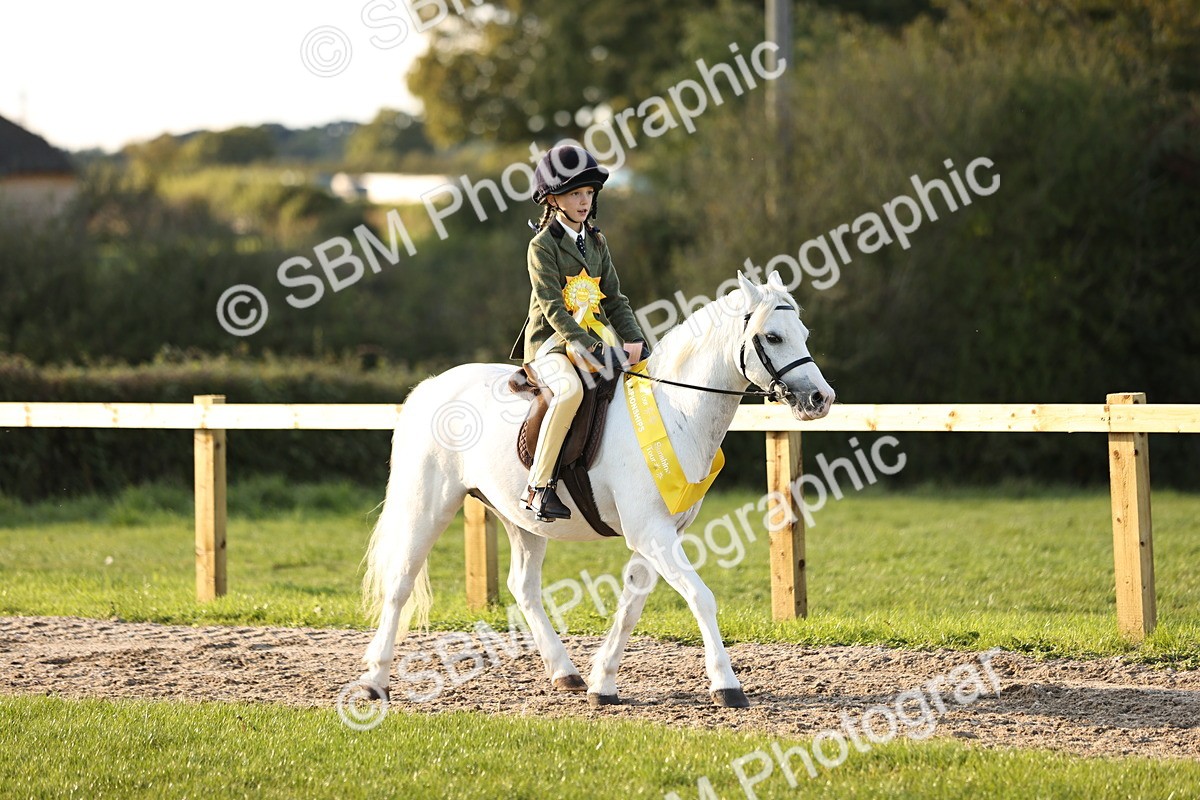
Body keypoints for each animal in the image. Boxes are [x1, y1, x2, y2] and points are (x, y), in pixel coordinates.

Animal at [358, 270, 834, 708]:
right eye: (772, 336)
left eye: (805, 334)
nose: (821, 399)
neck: (677, 410)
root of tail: (432, 385)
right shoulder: (652, 533)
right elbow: (702, 597)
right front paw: (726, 684)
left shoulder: (659, 534)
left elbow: (630, 607)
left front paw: (603, 683)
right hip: (429, 506)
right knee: (400, 584)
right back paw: (375, 680)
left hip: (520, 519)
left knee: (523, 588)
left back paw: (564, 672)